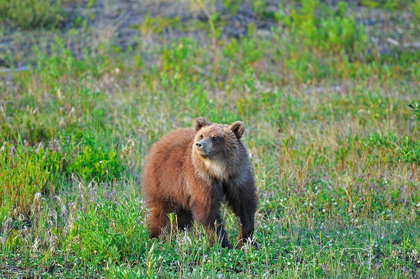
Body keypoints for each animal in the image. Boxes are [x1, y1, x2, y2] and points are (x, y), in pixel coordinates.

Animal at [143, 117, 258, 248]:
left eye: (215, 137)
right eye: (202, 135)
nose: (199, 144)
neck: (219, 170)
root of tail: (161, 140)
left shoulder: (237, 176)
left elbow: (244, 203)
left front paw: (246, 239)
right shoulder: (201, 178)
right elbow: (208, 209)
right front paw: (222, 242)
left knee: (182, 216)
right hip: (164, 182)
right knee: (161, 211)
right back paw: (157, 236)